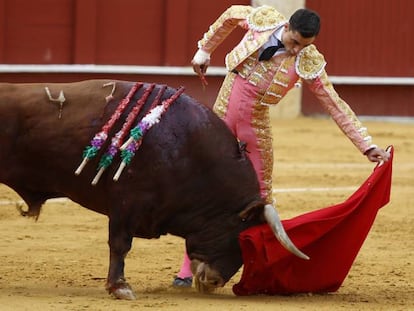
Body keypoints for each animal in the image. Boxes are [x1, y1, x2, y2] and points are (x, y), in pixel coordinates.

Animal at [0, 80, 308, 300]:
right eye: (238, 236)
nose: (214, 282)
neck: (189, 151)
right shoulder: (126, 203)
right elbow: (120, 245)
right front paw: (120, 287)